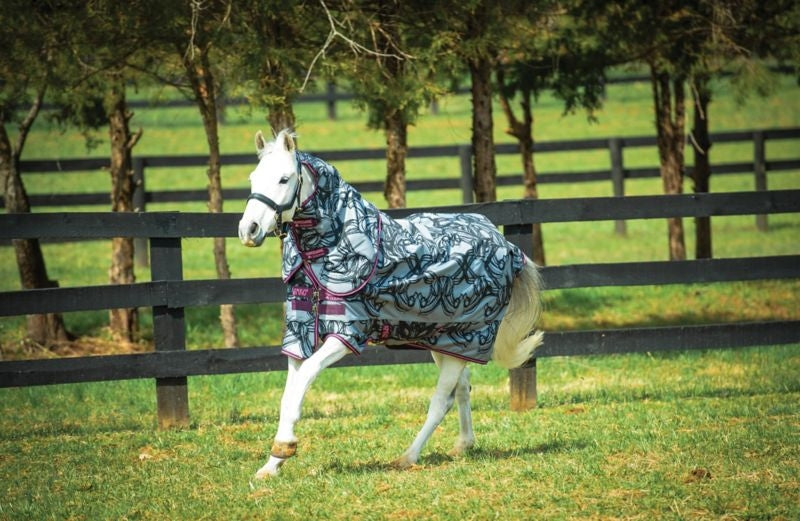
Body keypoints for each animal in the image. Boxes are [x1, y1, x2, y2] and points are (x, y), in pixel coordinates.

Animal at [238, 129, 544, 479]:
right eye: (253, 178)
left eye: (284, 179)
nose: (248, 230)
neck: (330, 251)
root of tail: (506, 245)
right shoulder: (298, 334)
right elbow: (289, 393)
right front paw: (272, 464)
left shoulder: (345, 334)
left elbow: (304, 380)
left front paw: (285, 446)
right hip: (445, 342)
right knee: (462, 389)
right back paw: (463, 445)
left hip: (466, 339)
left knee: (442, 400)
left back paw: (407, 457)